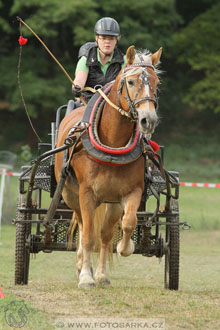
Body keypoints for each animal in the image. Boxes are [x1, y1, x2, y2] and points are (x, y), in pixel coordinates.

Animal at [55, 45, 162, 288]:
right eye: (130, 82)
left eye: (156, 82)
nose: (148, 120)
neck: (112, 142)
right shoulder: (86, 193)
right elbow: (87, 236)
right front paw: (86, 277)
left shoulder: (131, 192)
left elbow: (127, 224)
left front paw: (125, 248)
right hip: (71, 194)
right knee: (83, 226)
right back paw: (81, 266)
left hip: (110, 201)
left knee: (104, 234)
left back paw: (101, 274)